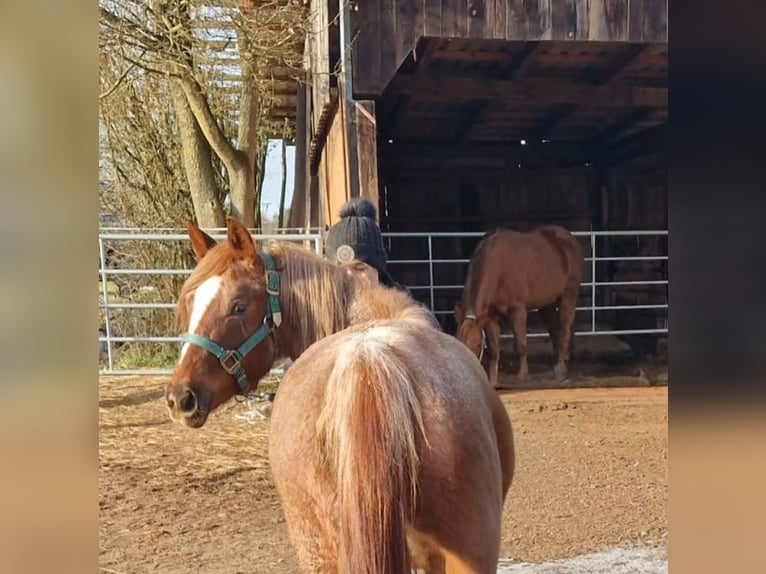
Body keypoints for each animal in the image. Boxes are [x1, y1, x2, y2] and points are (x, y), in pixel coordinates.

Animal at [455, 225, 583, 389]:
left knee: (566, 328)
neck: (497, 267)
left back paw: (561, 369)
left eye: (477, 345)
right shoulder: (490, 317)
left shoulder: (518, 310)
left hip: (569, 295)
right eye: (457, 341)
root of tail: (569, 238)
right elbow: (494, 348)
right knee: (555, 331)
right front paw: (493, 381)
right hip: (547, 304)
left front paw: (522, 376)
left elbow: (520, 344)